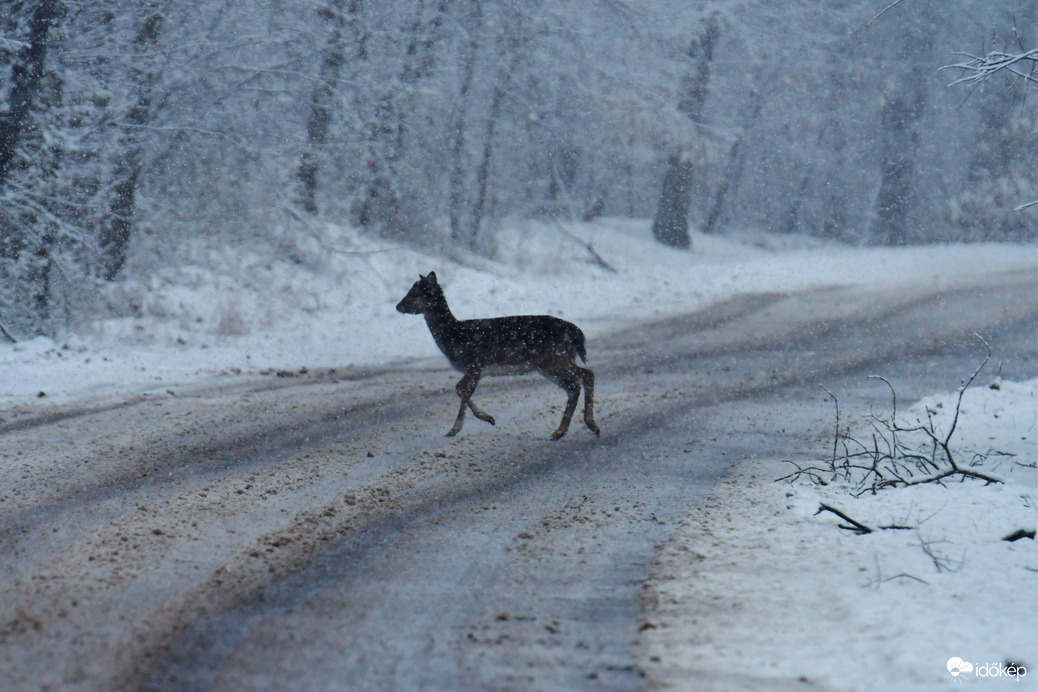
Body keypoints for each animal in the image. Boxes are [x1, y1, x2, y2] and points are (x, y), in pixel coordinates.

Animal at [394, 273, 602, 441]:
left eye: (414, 293)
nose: (398, 306)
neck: (456, 337)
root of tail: (574, 331)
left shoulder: (476, 362)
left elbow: (463, 389)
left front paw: (456, 428)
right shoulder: (477, 368)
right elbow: (461, 389)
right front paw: (488, 419)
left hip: (553, 359)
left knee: (586, 375)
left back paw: (589, 425)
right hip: (551, 363)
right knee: (575, 385)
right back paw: (562, 431)